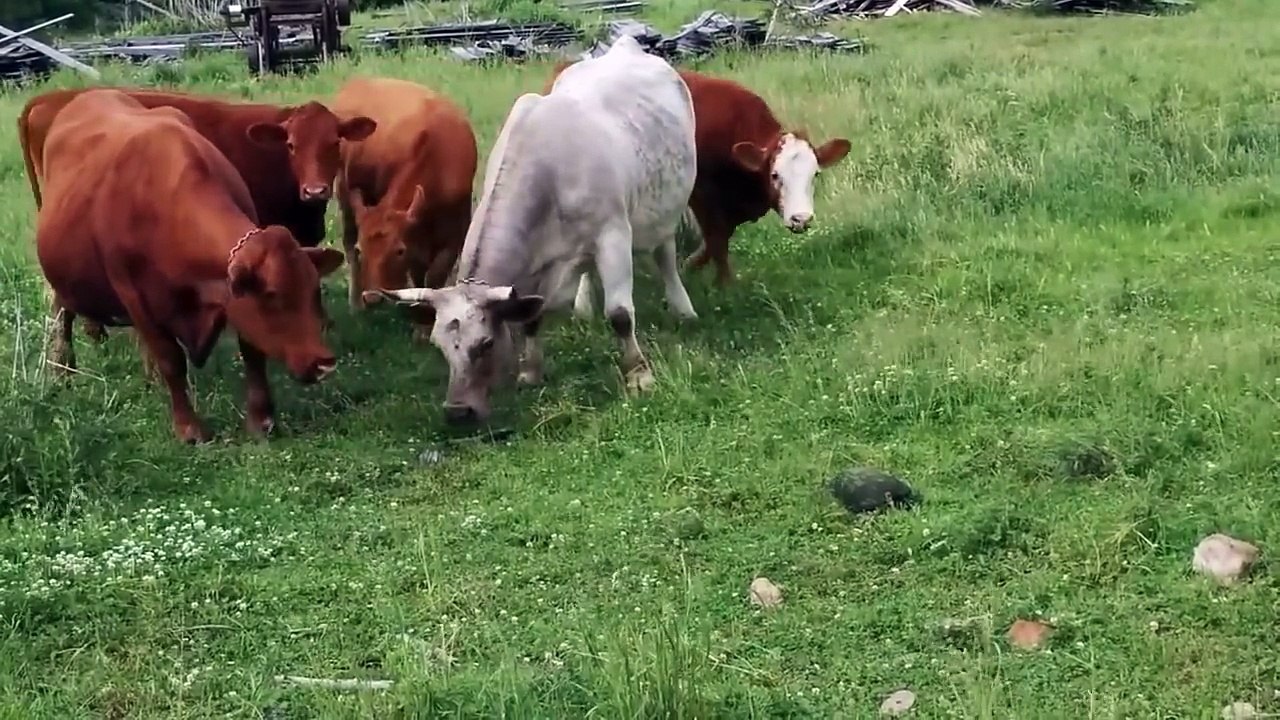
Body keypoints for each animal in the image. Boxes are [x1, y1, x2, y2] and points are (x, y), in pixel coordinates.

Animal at [35, 89, 345, 444]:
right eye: (272, 297)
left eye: (313, 291)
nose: (324, 363)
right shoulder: (134, 296)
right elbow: (171, 359)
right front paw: (189, 428)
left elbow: (252, 352)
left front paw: (261, 419)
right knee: (61, 309)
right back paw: (62, 367)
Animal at [331, 77, 478, 342]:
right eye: (362, 249)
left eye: (399, 251)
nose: (372, 297)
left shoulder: (454, 236)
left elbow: (433, 276)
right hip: (345, 197)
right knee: (347, 243)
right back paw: (355, 304)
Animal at [362, 34, 699, 425]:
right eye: (439, 345)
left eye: (486, 343)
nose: (458, 411)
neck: (549, 173)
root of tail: (626, 45)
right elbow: (532, 317)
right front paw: (531, 371)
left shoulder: (613, 234)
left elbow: (619, 314)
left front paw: (639, 375)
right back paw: (583, 304)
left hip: (665, 208)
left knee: (664, 255)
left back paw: (682, 307)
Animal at [545, 62, 852, 288]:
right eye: (775, 175)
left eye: (815, 175)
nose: (802, 218)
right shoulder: (701, 194)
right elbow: (716, 237)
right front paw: (723, 282)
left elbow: (718, 238)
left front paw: (694, 265)